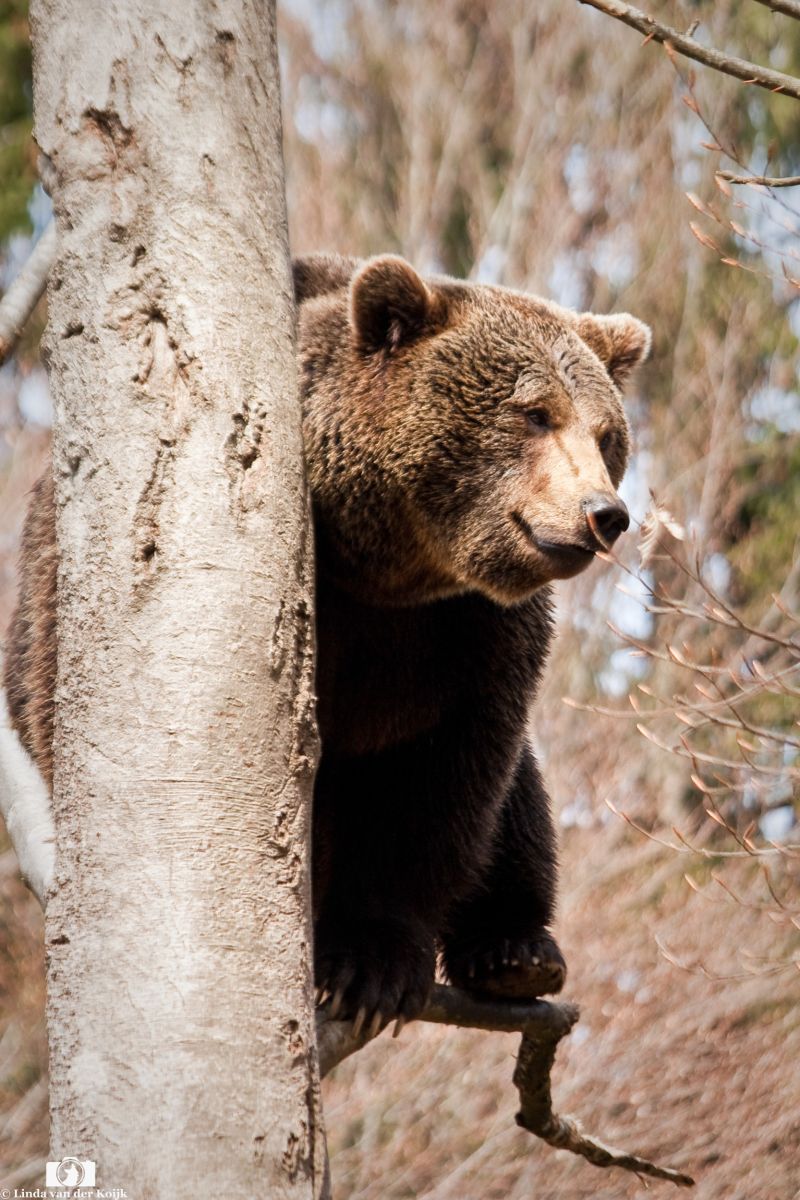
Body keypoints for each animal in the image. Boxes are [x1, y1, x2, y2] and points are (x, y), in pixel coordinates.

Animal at [4, 253, 650, 1037]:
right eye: (534, 413)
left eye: (605, 433)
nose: (604, 513)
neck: (383, 569)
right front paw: (354, 963)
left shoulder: (472, 636)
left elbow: (443, 777)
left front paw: (373, 960)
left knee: (518, 799)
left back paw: (517, 950)